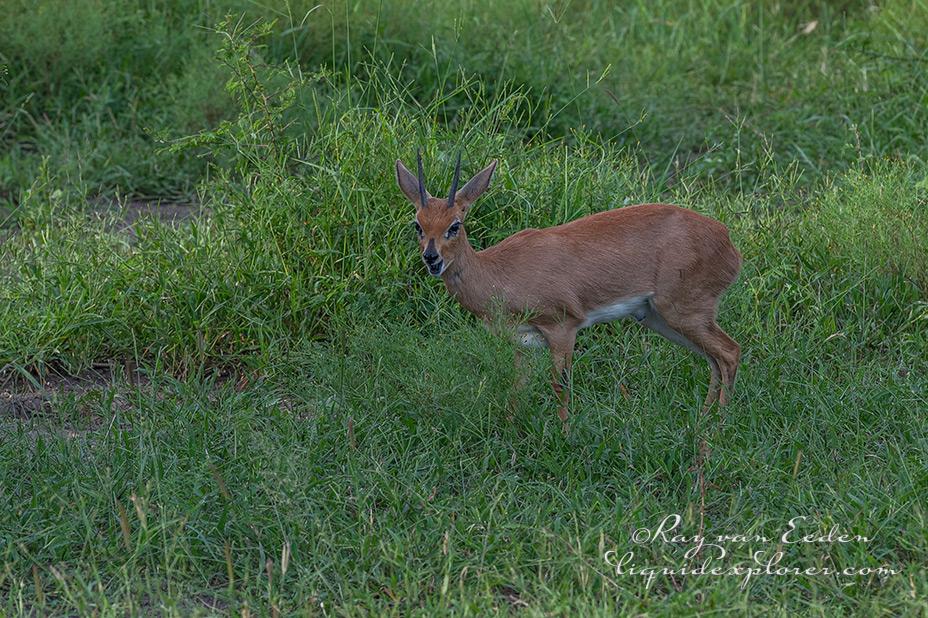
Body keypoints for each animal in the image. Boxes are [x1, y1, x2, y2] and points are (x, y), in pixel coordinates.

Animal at [396, 153, 744, 428]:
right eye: (418, 224)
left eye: (455, 225)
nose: (432, 258)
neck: (498, 271)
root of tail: (728, 242)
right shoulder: (522, 343)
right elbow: (517, 387)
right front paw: (509, 428)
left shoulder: (562, 327)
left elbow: (560, 385)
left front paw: (564, 433)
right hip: (659, 318)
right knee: (714, 359)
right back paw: (705, 417)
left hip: (684, 312)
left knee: (730, 352)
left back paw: (719, 426)